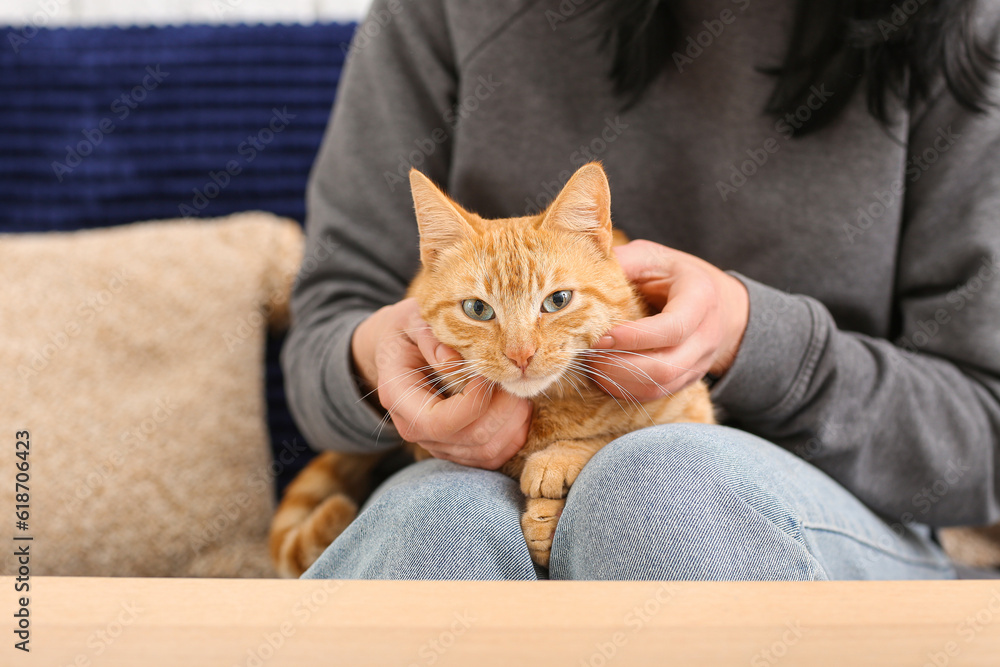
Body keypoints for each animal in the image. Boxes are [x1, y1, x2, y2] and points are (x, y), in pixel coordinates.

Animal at [270, 163, 716, 580]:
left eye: (557, 301)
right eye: (477, 309)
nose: (521, 354)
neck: (549, 411)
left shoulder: (693, 409)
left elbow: (617, 435)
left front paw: (553, 474)